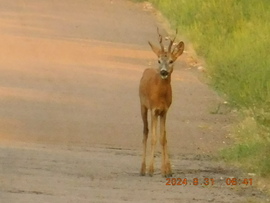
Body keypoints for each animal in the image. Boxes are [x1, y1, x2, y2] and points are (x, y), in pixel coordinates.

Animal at [139, 27, 184, 177]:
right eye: (159, 60)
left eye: (171, 61)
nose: (164, 72)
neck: (161, 95)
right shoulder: (153, 109)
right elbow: (153, 138)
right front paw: (151, 169)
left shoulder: (164, 111)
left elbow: (163, 138)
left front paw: (167, 170)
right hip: (143, 106)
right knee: (146, 132)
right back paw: (142, 169)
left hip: (158, 114)